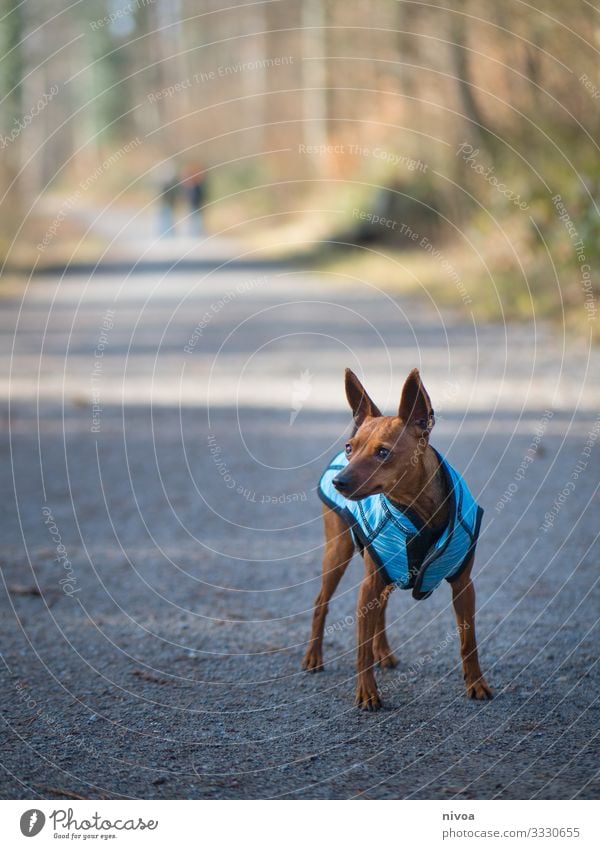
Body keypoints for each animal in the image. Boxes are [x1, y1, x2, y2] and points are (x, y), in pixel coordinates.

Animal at [300, 368, 492, 704]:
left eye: (383, 452)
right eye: (350, 448)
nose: (339, 481)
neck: (419, 510)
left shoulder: (463, 585)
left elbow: (468, 641)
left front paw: (476, 683)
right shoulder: (368, 585)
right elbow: (360, 650)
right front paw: (367, 693)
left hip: (386, 570)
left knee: (380, 610)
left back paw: (384, 653)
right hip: (339, 553)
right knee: (321, 601)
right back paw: (314, 656)